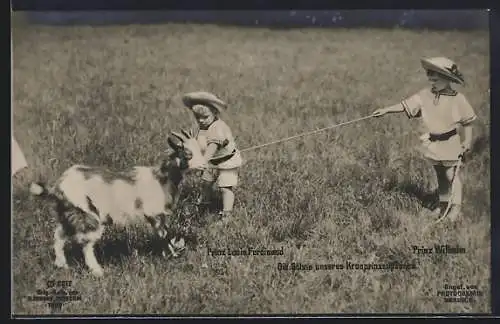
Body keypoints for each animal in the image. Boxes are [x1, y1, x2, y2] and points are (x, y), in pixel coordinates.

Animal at [29, 130, 205, 278]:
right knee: (86, 244)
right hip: (88, 213)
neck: (162, 177)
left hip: (69, 213)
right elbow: (163, 235)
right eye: (188, 155)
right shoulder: (154, 213)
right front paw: (172, 256)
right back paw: (98, 272)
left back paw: (62, 265)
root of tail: (57, 186)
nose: (204, 165)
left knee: (59, 235)